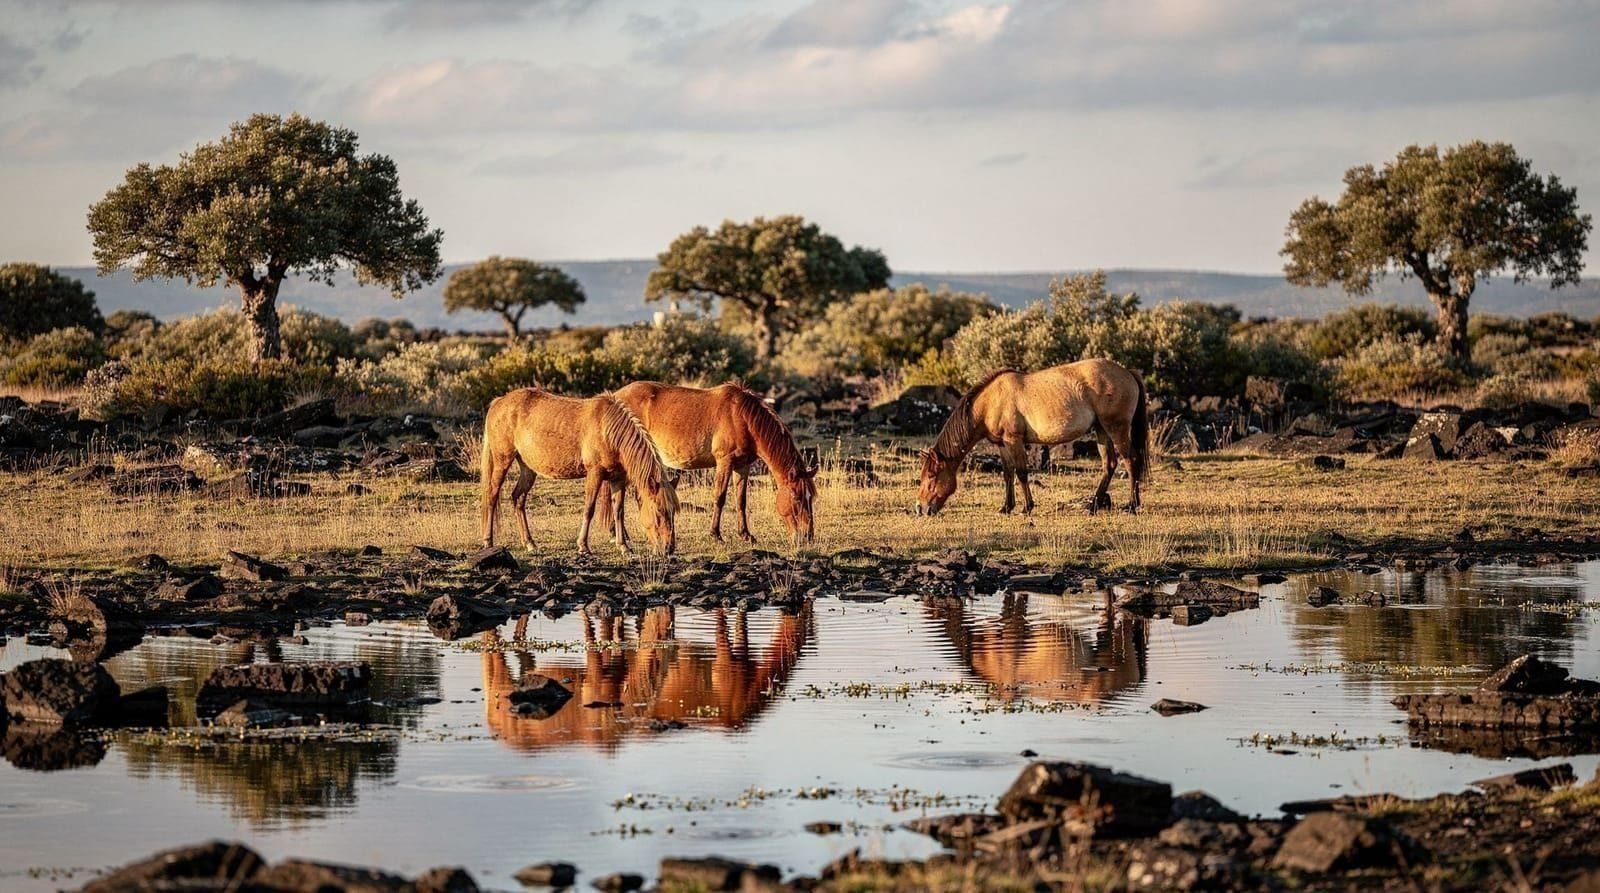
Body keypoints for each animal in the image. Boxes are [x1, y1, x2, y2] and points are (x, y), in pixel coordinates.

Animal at [479, 388, 678, 555]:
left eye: (673, 512)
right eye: (659, 511)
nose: (669, 549)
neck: (608, 430)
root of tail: (498, 401)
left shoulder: (618, 478)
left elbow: (618, 511)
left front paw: (623, 546)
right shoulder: (594, 474)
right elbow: (589, 509)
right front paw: (583, 546)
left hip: (528, 469)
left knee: (518, 498)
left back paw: (530, 543)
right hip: (502, 461)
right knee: (492, 495)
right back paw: (488, 541)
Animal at [599, 382, 817, 545]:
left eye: (811, 498)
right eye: (797, 497)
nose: (807, 536)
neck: (742, 417)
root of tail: (615, 398)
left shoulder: (742, 466)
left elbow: (741, 500)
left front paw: (746, 535)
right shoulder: (724, 462)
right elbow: (720, 497)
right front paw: (716, 535)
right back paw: (619, 535)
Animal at [917, 358, 1148, 516]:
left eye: (931, 476)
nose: (920, 508)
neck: (989, 402)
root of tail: (1127, 372)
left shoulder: (1014, 440)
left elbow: (1021, 473)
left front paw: (1027, 507)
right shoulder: (1002, 444)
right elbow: (1007, 474)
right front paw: (1006, 507)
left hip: (1116, 428)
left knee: (1131, 460)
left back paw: (1131, 505)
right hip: (1101, 430)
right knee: (1109, 464)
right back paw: (1094, 505)